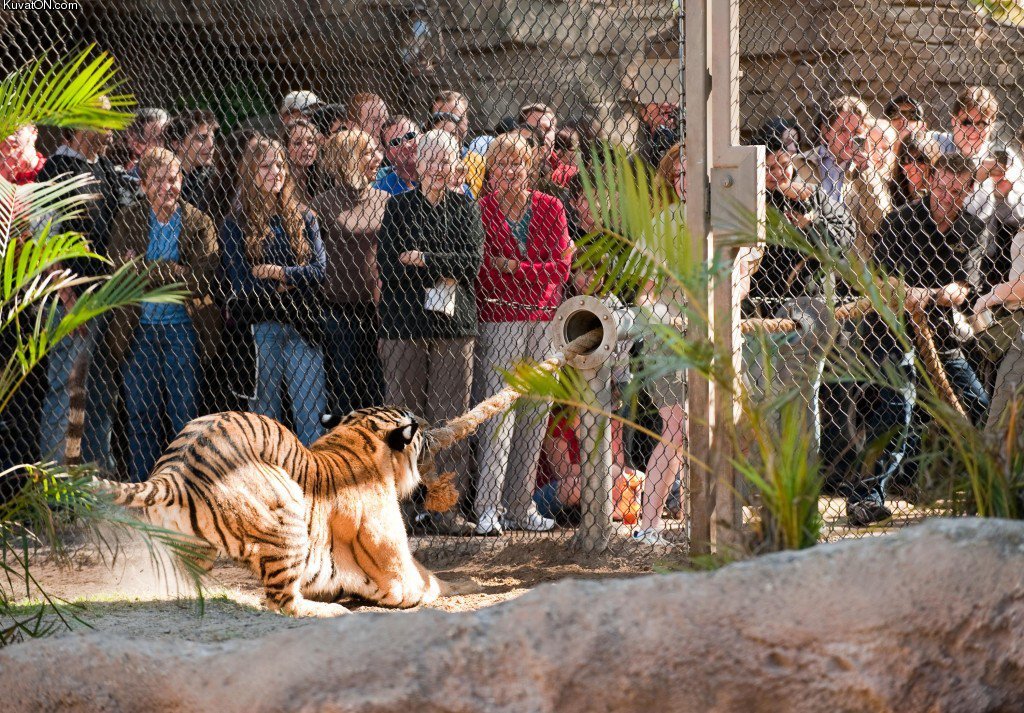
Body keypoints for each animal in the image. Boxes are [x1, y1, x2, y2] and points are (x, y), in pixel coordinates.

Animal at [93, 405, 452, 618]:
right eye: (417, 429)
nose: (430, 425)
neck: (357, 436)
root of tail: (174, 472)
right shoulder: (399, 574)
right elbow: (427, 581)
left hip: (191, 549)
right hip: (288, 512)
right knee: (282, 601)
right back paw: (330, 610)